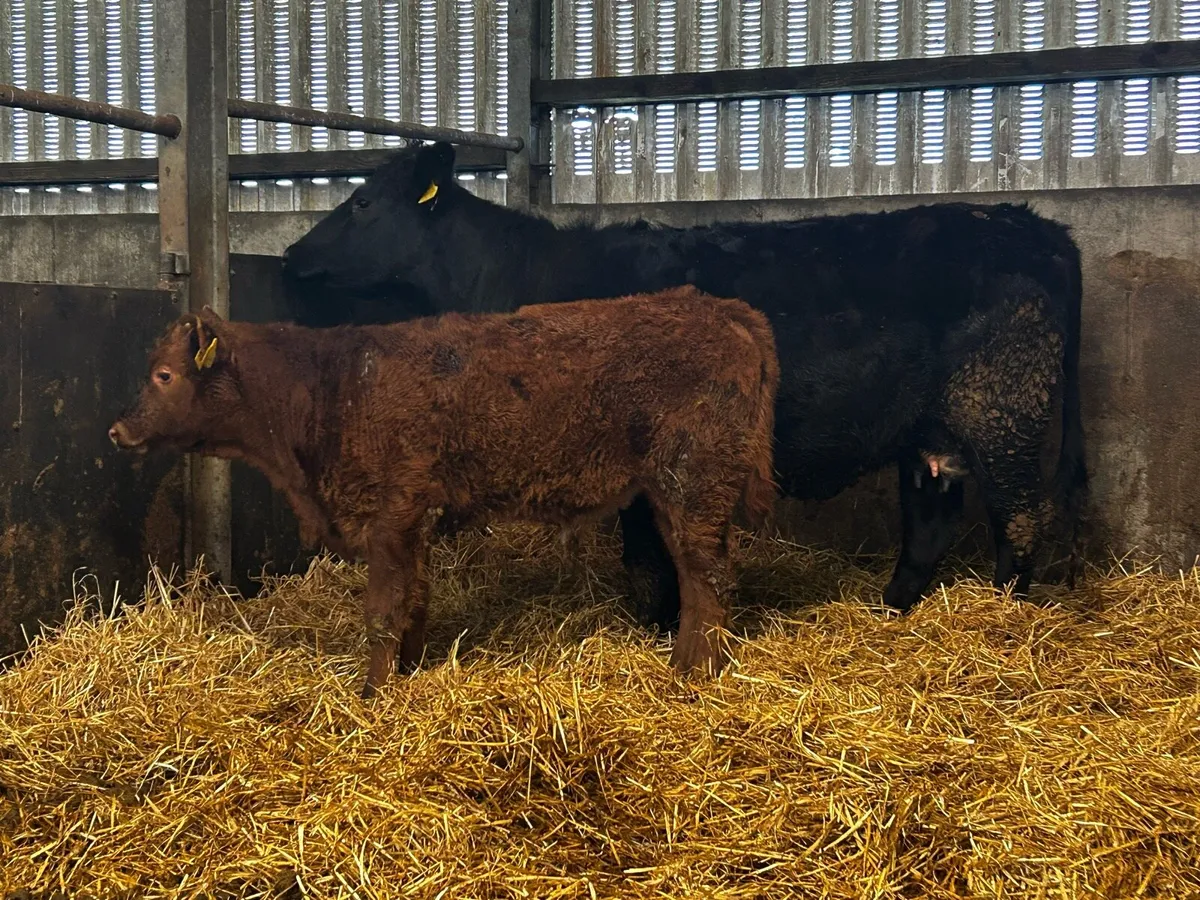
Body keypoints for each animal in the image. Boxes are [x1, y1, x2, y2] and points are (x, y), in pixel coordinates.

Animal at [107, 287, 780, 697]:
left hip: (693, 485)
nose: (119, 431)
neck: (330, 387)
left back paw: (692, 672)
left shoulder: (390, 516)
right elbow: (414, 602)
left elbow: (382, 611)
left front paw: (371, 693)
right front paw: (405, 672)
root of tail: (721, 309)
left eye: (163, 374)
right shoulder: (414, 525)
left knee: (707, 579)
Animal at [280, 141, 1088, 631]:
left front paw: (661, 625)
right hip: (932, 430)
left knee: (1021, 520)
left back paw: (1005, 615)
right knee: (930, 524)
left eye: (361, 202)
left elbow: (646, 554)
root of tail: (1031, 223)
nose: (290, 255)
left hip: (1003, 407)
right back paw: (892, 614)